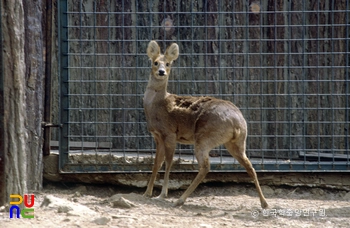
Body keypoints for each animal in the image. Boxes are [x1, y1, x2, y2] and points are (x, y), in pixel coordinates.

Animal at [142, 40, 268, 208]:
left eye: (168, 64)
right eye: (155, 62)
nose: (162, 71)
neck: (157, 104)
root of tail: (237, 122)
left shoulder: (169, 133)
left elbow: (168, 163)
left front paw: (162, 195)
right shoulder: (157, 136)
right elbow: (156, 163)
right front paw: (147, 193)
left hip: (205, 136)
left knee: (205, 166)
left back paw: (180, 200)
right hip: (236, 142)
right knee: (250, 166)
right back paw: (264, 203)